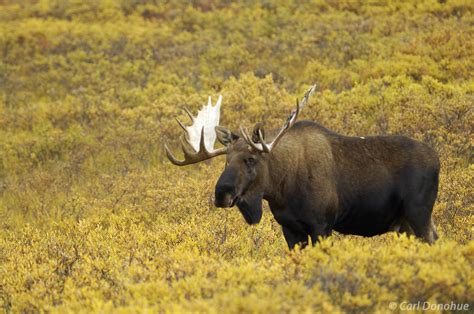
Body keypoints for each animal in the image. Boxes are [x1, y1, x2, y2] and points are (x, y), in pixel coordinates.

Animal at [165, 85, 438, 248]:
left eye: (250, 159)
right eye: (226, 160)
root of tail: (438, 158)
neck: (280, 190)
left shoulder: (322, 225)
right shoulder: (290, 228)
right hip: (404, 222)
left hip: (418, 213)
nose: (221, 194)